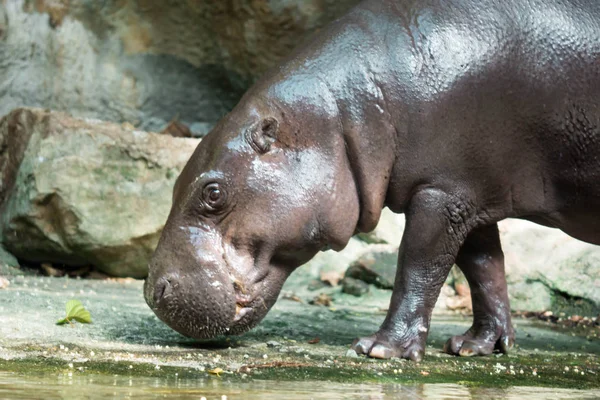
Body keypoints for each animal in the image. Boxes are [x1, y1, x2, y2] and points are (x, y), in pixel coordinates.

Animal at [145, 0, 600, 360]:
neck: (343, 115)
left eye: (213, 193)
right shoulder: (469, 190)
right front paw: (476, 346)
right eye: (175, 185)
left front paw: (380, 349)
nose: (152, 293)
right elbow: (485, 268)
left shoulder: (441, 193)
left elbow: (419, 263)